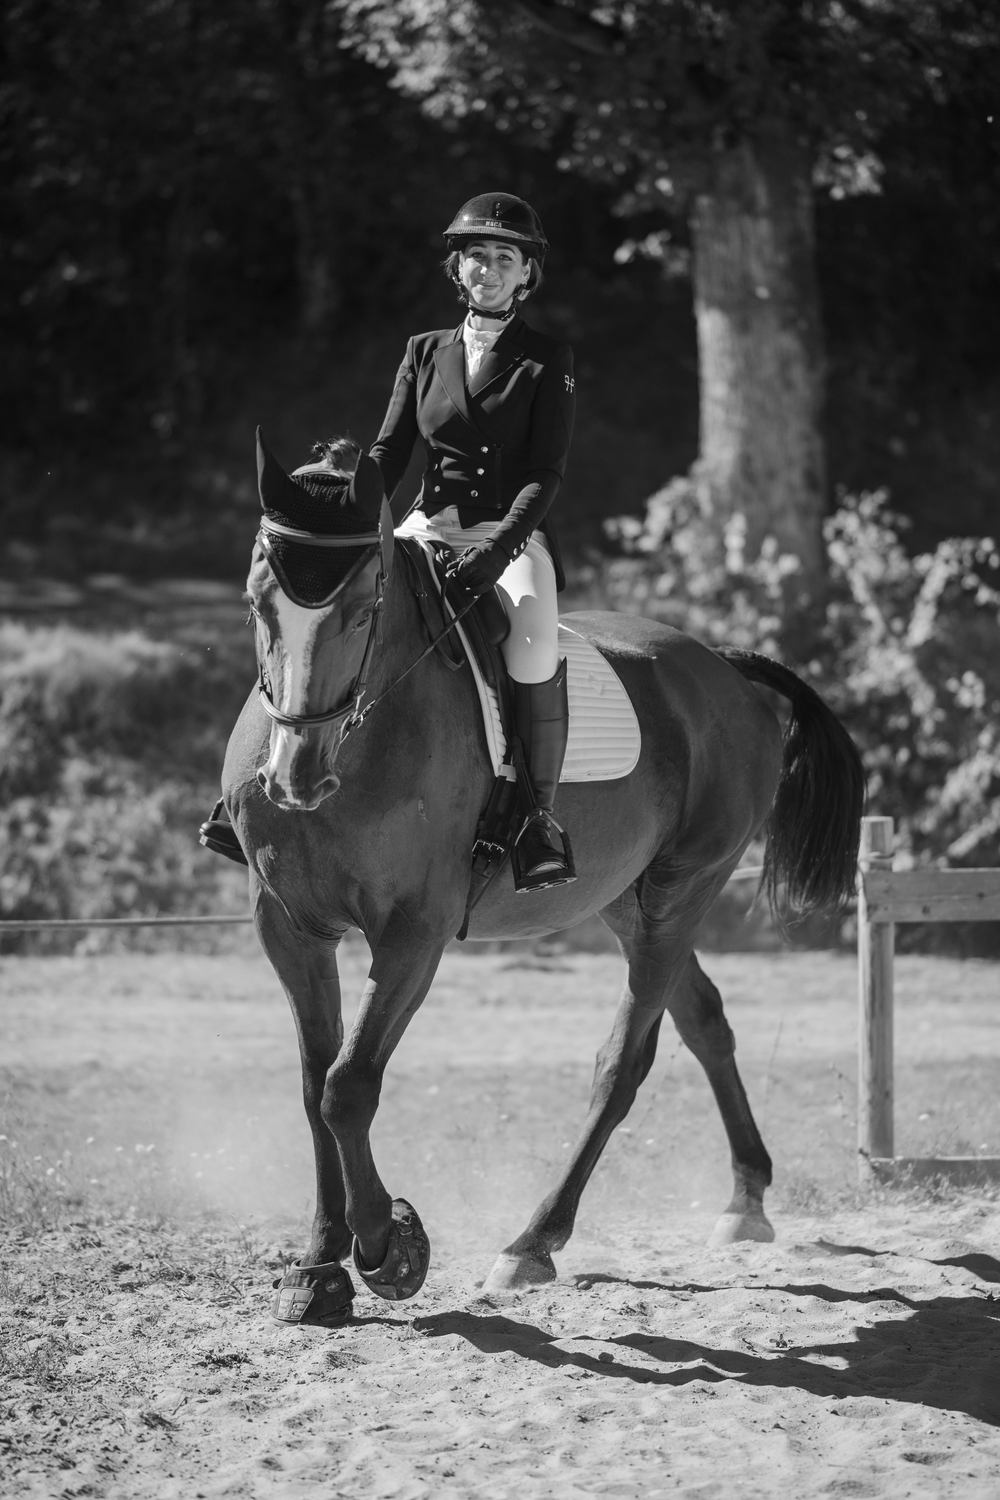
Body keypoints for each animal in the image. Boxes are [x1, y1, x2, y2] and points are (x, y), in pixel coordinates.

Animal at [222, 433, 865, 1317]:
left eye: (360, 610)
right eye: (258, 605)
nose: (295, 777)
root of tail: (723, 669)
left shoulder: (414, 932)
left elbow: (348, 1085)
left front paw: (389, 1247)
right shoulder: (287, 923)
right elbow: (316, 1083)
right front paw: (320, 1268)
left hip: (685, 888)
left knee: (623, 1063)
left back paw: (531, 1243)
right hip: (626, 900)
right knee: (702, 1019)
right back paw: (746, 1199)